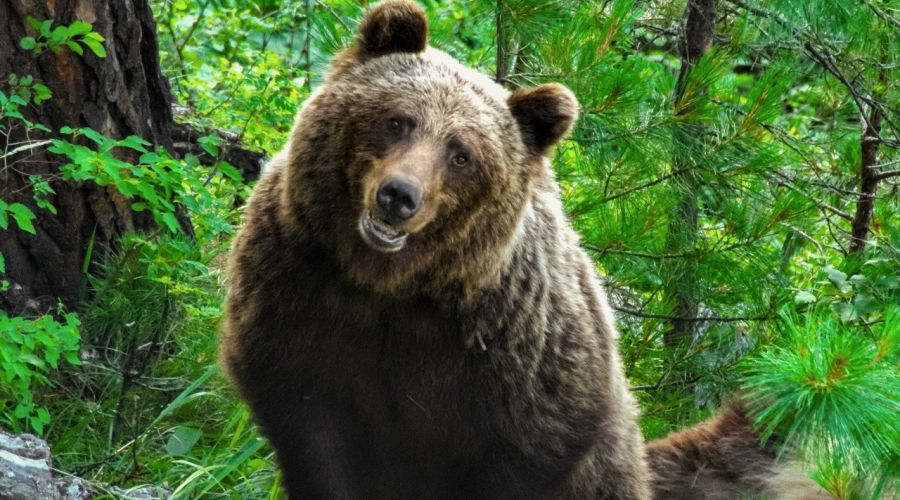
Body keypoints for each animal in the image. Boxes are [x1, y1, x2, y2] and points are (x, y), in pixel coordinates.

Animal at [220, 1, 827, 498]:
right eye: (397, 119)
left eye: (461, 154)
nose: (398, 197)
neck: (389, 283)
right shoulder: (299, 295)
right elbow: (310, 430)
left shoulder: (512, 359)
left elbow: (524, 449)